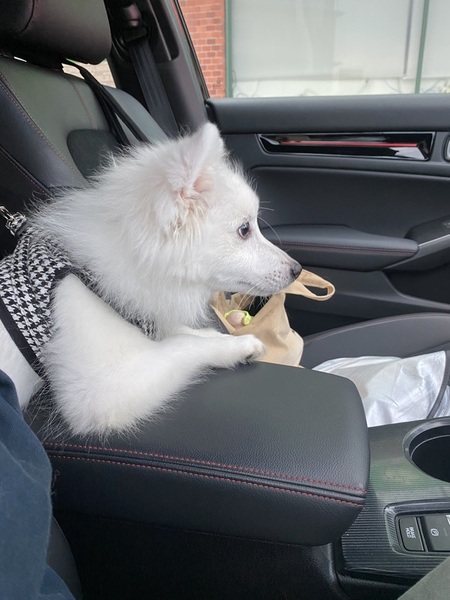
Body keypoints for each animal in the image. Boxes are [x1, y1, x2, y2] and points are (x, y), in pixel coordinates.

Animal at [0, 123, 301, 436]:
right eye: (244, 229)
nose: (297, 269)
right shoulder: (101, 389)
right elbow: (182, 344)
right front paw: (235, 347)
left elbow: (180, 333)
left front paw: (220, 337)